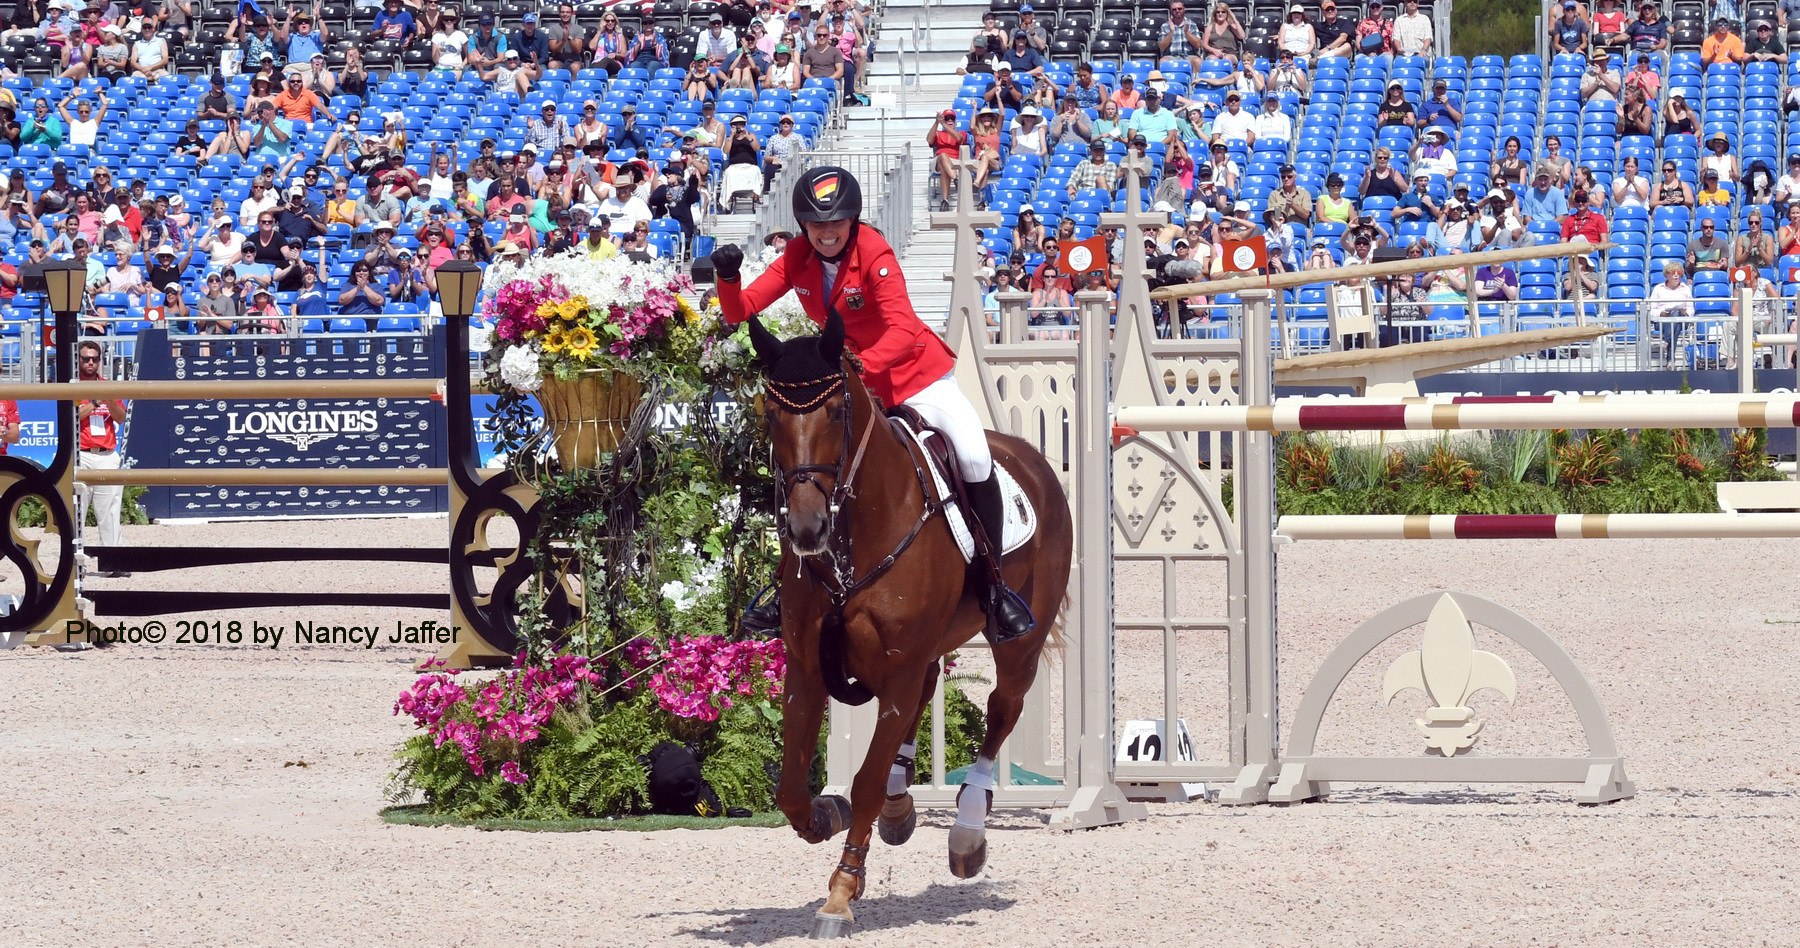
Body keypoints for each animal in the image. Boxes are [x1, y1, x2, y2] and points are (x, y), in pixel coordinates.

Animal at [741, 314, 1065, 935]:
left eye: (836, 412)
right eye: (769, 415)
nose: (806, 530)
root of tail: (1029, 457)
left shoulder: (895, 671)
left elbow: (864, 780)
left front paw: (841, 893)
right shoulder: (808, 669)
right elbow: (791, 786)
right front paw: (826, 815)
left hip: (1020, 646)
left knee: (1001, 710)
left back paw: (966, 832)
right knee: (930, 689)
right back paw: (900, 804)